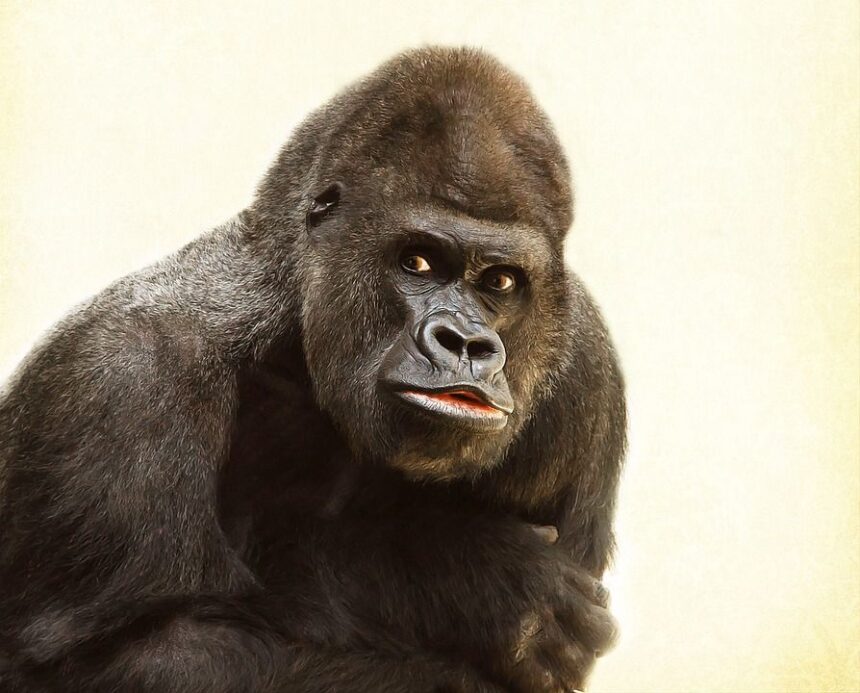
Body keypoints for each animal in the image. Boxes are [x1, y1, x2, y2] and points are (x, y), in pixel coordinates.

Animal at [0, 46, 625, 692]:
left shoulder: (586, 374)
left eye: (500, 281)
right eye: (417, 262)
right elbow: (114, 657)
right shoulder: (120, 377)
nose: (466, 344)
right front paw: (461, 575)